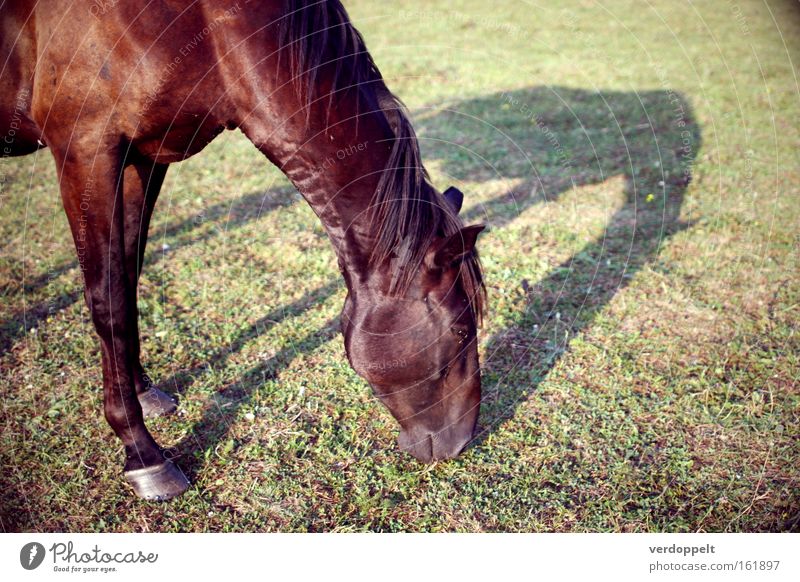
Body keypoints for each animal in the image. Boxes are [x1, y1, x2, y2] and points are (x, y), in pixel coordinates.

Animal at [0, 1, 488, 502]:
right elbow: (107, 300)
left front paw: (142, 392)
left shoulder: (144, 156)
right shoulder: (86, 151)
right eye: (460, 332)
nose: (461, 440)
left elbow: (128, 278)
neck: (212, 32)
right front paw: (143, 452)